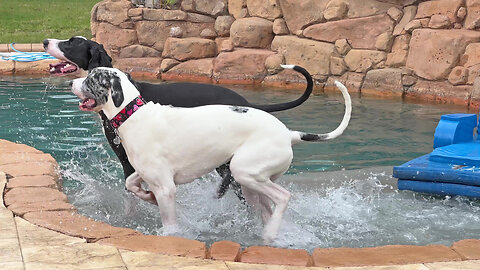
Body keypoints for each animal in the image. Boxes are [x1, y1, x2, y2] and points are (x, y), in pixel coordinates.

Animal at [69, 67, 350, 243]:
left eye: (91, 78)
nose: (72, 82)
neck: (133, 114)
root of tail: (289, 133)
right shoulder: (144, 172)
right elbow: (130, 183)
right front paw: (147, 197)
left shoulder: (167, 188)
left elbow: (169, 225)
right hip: (251, 186)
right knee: (269, 208)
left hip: (243, 172)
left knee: (284, 197)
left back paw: (270, 234)